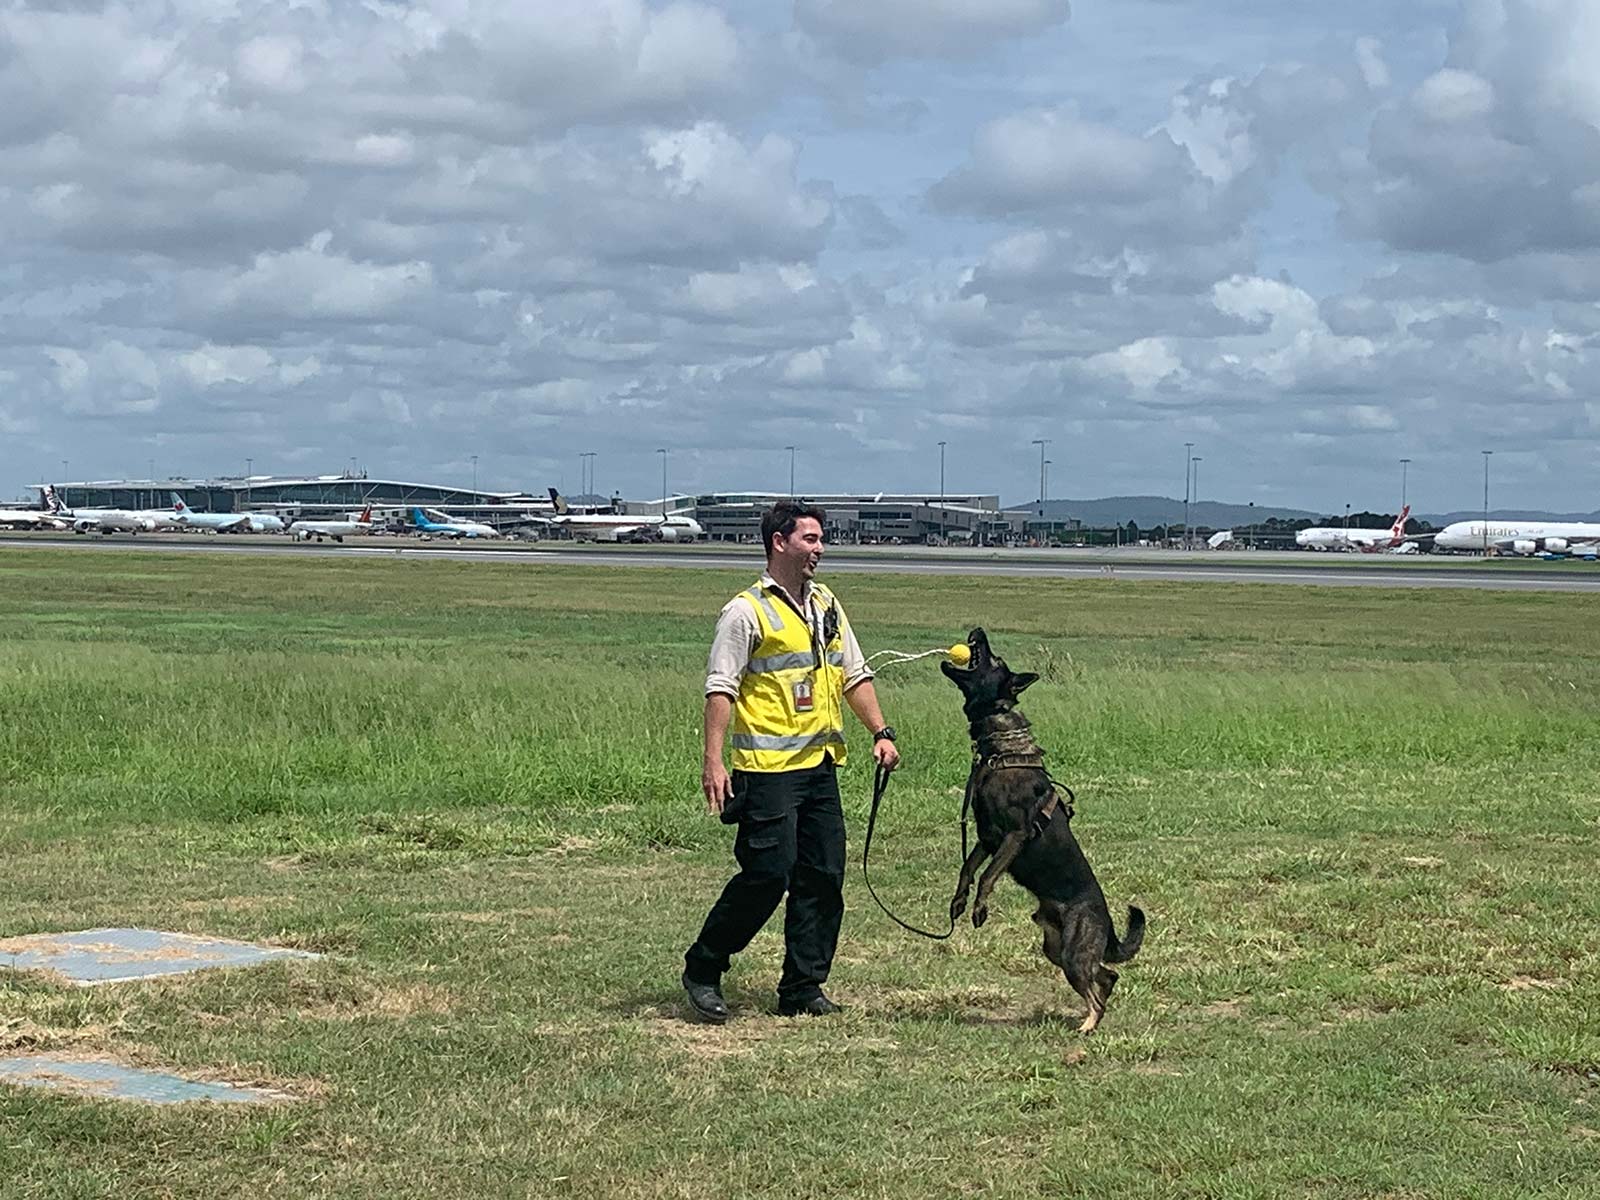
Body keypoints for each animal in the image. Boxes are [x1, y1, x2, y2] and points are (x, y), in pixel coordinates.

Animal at [940, 630, 1145, 1036]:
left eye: (995, 660)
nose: (978, 631)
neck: (999, 747)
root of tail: (1107, 924)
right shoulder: (986, 837)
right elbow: (967, 869)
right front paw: (958, 902)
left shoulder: (1013, 836)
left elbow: (987, 875)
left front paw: (979, 908)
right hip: (1057, 950)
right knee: (1107, 976)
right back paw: (1092, 1018)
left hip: (1072, 952)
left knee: (1097, 986)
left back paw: (1088, 1025)